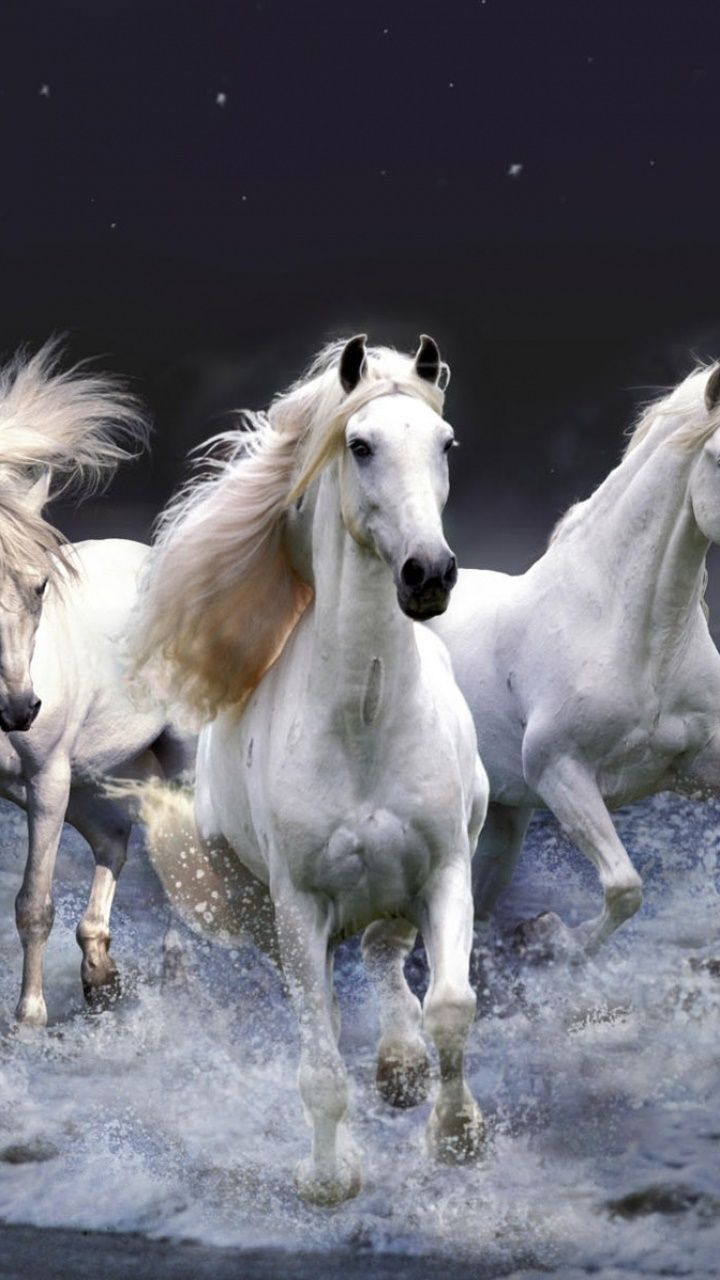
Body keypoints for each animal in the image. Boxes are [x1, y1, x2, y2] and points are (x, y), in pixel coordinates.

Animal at [0, 340, 191, 1027]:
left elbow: (33, 905)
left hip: (167, 761)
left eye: (40, 586)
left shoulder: (45, 779)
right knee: (114, 841)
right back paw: (100, 972)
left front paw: (29, 1021)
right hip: (87, 777)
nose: (21, 710)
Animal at [129, 335, 488, 1205]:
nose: (429, 574)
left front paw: (457, 1135)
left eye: (445, 444)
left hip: (402, 887)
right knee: (334, 989)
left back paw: (401, 1068)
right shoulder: (298, 907)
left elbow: (451, 1005)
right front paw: (330, 1179)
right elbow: (320, 1062)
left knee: (387, 955)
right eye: (359, 446)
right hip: (264, 911)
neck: (365, 720)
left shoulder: (444, 869)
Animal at [421, 361, 720, 962]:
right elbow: (625, 888)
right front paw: (551, 937)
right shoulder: (560, 771)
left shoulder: (700, 765)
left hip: (502, 820)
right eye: (719, 457)